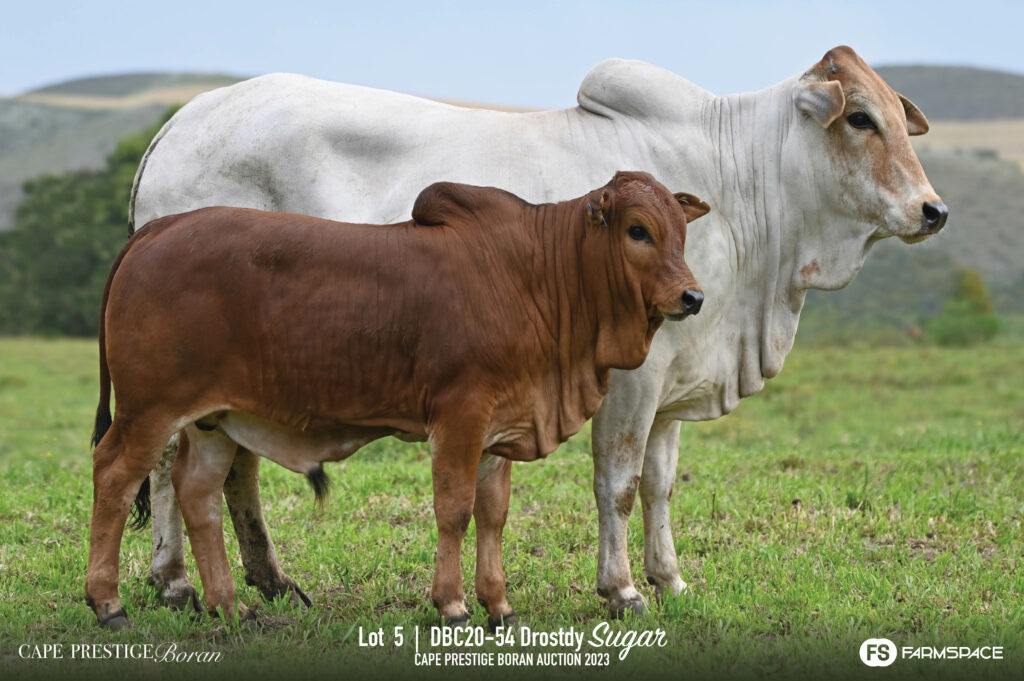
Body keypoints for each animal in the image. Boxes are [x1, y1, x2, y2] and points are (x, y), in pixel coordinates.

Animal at [86, 172, 709, 630]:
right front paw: (453, 605)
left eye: (681, 232)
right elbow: (455, 508)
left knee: (199, 494)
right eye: (637, 230)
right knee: (115, 477)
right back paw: (108, 603)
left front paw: (499, 605)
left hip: (211, 421)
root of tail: (159, 229)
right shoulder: (461, 415)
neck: (535, 274)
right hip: (148, 412)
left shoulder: (501, 426)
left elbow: (493, 513)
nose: (693, 296)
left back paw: (232, 607)